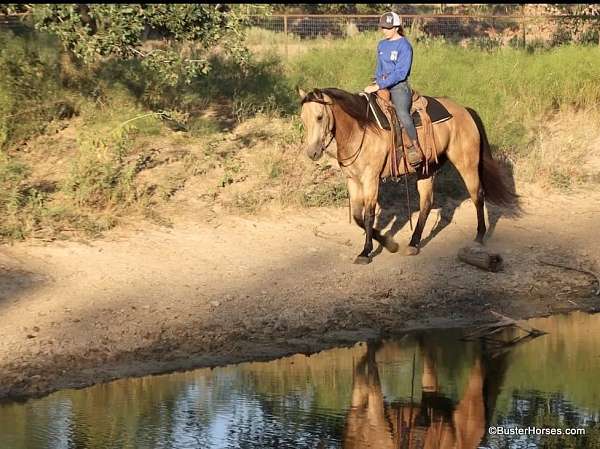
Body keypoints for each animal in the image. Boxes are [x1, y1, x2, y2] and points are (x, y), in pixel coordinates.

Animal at [298, 86, 516, 264]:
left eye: (319, 117)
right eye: (303, 118)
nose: (312, 153)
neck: (360, 129)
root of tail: (465, 110)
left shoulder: (371, 179)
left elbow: (368, 216)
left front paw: (366, 252)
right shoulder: (353, 180)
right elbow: (358, 217)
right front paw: (390, 244)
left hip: (466, 162)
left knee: (477, 195)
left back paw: (478, 237)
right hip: (426, 169)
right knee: (426, 203)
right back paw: (413, 243)